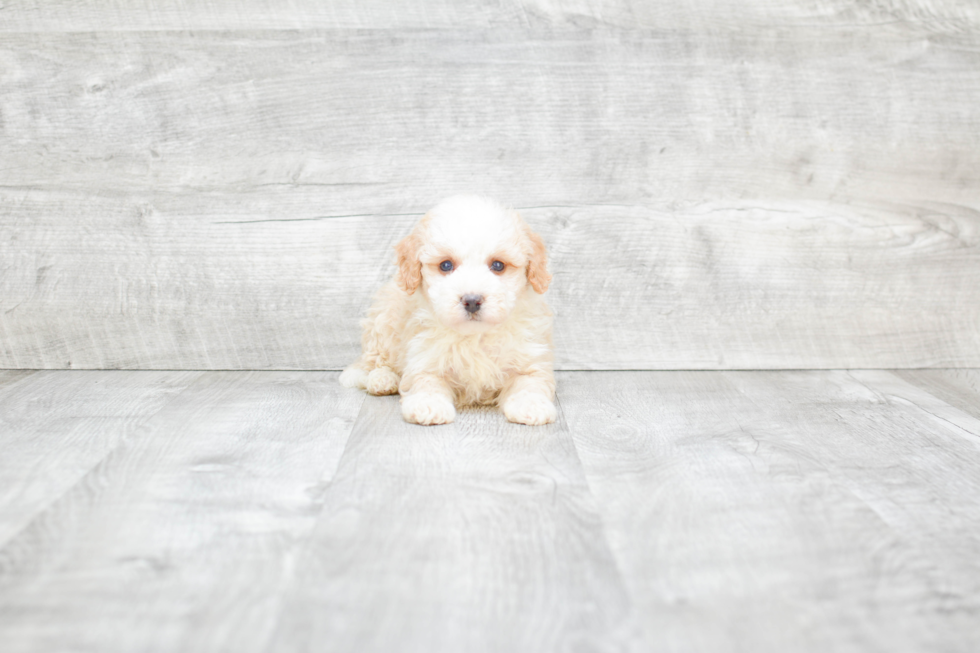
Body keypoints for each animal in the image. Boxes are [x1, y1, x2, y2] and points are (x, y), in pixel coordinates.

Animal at [340, 196, 556, 426]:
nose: (472, 301)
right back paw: (382, 379)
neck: (476, 336)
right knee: (371, 363)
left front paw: (531, 405)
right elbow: (426, 380)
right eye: (445, 265)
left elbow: (529, 381)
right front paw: (428, 404)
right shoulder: (424, 357)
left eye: (498, 265)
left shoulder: (530, 357)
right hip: (382, 326)